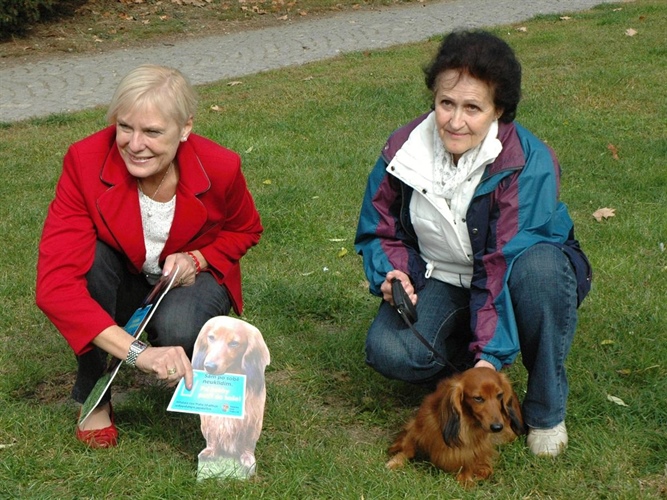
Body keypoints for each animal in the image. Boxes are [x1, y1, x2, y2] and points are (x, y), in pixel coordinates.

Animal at [192, 318, 270, 470]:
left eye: (234, 343)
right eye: (211, 337)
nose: (209, 367)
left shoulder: (252, 419)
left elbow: (248, 442)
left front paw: (248, 458)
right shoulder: (210, 420)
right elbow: (213, 436)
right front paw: (211, 451)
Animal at [388, 368, 524, 488]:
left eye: (499, 395)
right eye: (478, 398)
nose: (497, 427)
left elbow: (470, 461)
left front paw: (467, 479)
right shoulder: (417, 428)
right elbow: (408, 448)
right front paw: (395, 461)